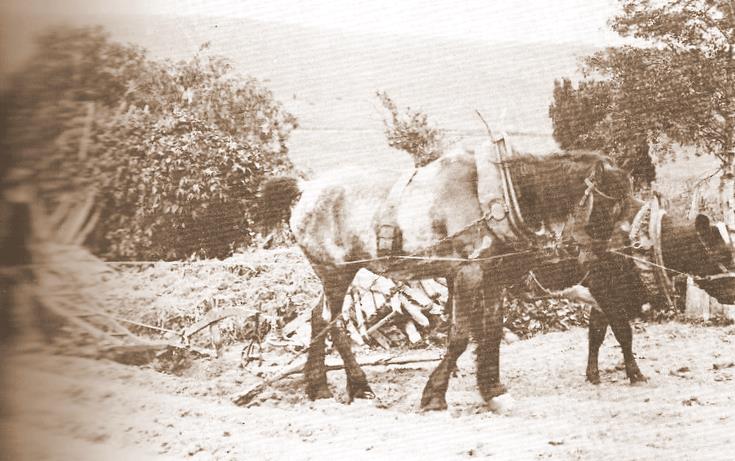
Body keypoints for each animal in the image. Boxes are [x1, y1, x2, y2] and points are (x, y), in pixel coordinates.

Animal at [262, 148, 636, 410]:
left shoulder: (490, 275)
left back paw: (320, 387)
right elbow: (459, 337)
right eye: (610, 203)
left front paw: (493, 389)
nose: (608, 258)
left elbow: (491, 330)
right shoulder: (467, 273)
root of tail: (306, 188)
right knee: (333, 323)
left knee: (317, 317)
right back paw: (359, 384)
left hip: (337, 273)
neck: (494, 196)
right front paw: (434, 395)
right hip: (336, 271)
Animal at [516, 205, 735, 384]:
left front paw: (592, 374)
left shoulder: (602, 299)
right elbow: (624, 334)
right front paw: (635, 374)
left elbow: (596, 335)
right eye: (723, 254)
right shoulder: (609, 295)